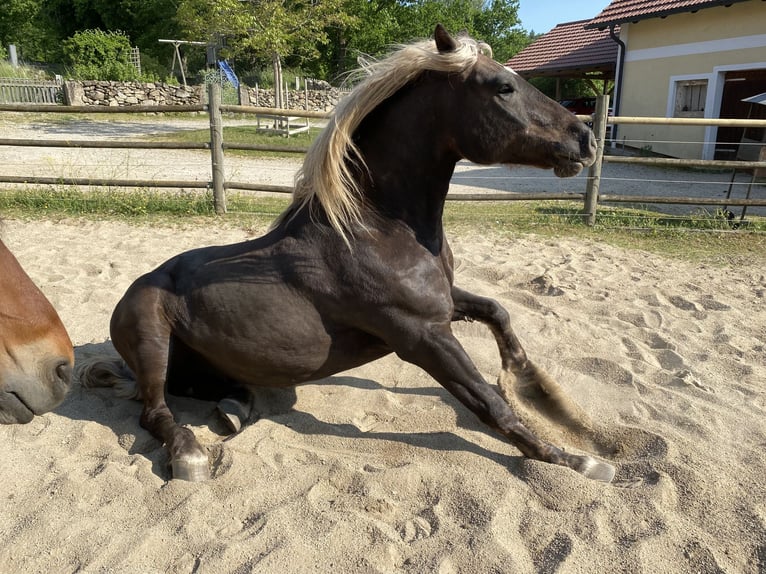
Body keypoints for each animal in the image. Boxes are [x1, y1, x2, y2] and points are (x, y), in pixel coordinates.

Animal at [79, 25, 616, 483]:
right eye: (503, 87)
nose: (586, 140)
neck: (376, 228)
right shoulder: (421, 335)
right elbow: (489, 404)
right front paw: (574, 460)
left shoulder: (444, 305)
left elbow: (497, 311)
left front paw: (535, 386)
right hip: (152, 338)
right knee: (155, 412)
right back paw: (190, 455)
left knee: (201, 391)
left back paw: (234, 409)